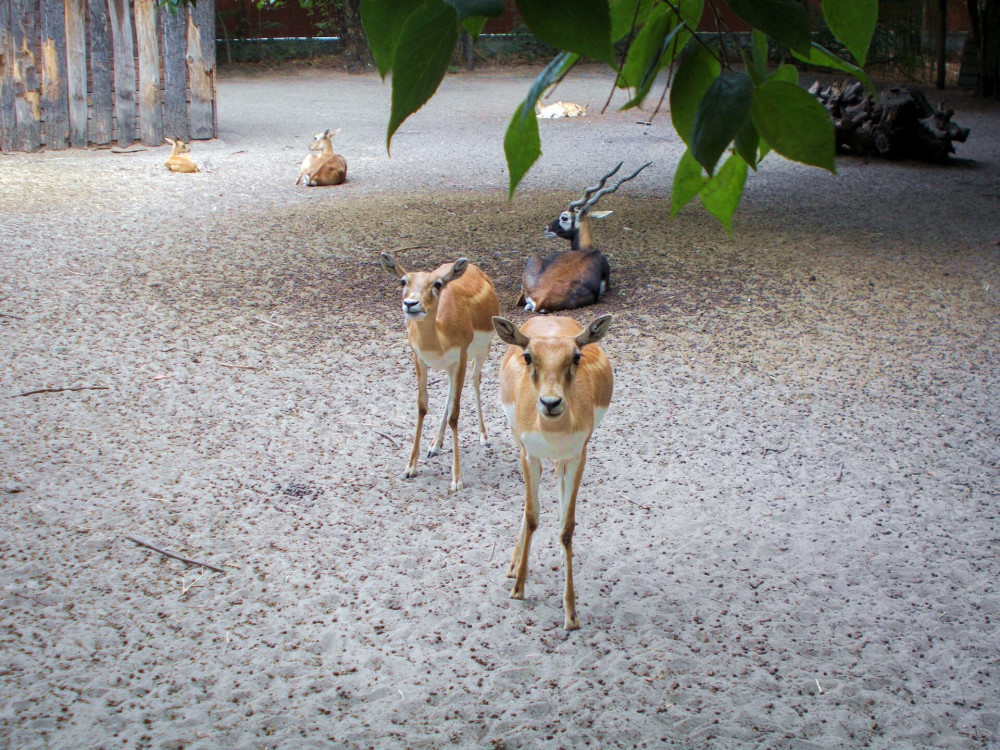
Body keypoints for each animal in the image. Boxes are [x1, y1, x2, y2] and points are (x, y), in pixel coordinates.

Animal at [378, 254, 500, 494]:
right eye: (403, 281)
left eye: (437, 284)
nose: (411, 304)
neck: (440, 339)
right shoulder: (419, 358)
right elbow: (422, 406)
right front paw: (410, 468)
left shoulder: (460, 357)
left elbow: (455, 414)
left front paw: (457, 479)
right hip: (451, 366)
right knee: (450, 392)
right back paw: (434, 445)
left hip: (483, 350)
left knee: (475, 379)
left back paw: (483, 436)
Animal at [488, 314, 612, 632]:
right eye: (528, 356)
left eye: (576, 356)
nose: (551, 403)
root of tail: (551, 316)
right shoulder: (529, 455)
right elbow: (532, 516)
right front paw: (518, 588)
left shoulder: (578, 456)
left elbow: (566, 528)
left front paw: (571, 614)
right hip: (519, 443)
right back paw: (512, 567)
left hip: (561, 462)